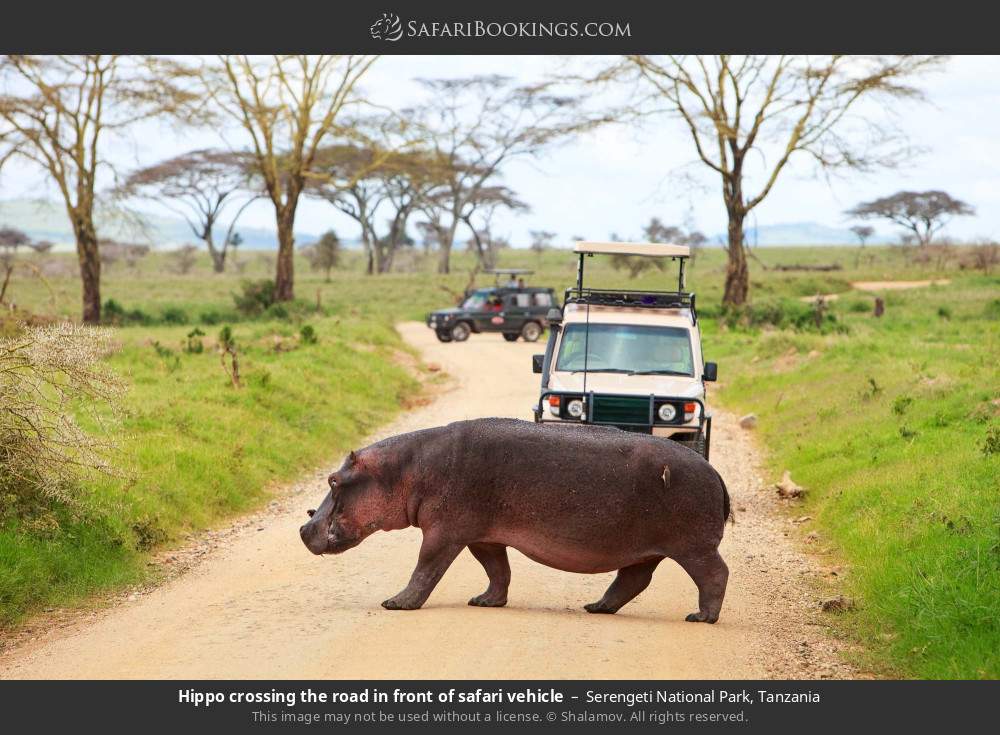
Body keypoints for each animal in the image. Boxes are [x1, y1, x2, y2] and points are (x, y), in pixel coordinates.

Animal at [299, 418, 732, 623]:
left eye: (334, 480)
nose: (303, 528)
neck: (404, 470)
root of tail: (716, 473)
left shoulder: (444, 532)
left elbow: (425, 568)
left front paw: (395, 603)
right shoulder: (482, 536)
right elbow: (497, 569)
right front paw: (485, 602)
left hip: (693, 546)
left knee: (715, 573)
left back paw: (701, 617)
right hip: (646, 550)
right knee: (633, 579)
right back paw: (595, 607)